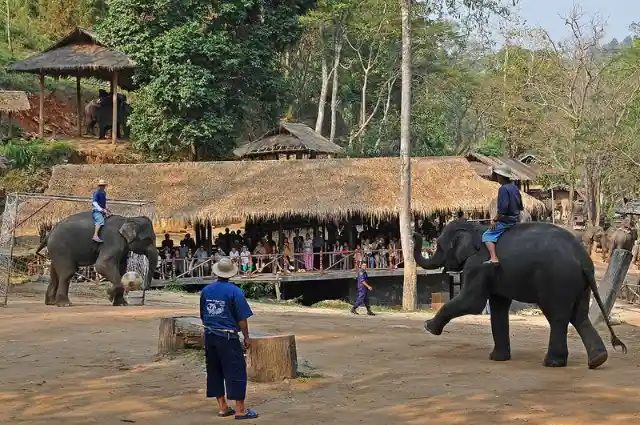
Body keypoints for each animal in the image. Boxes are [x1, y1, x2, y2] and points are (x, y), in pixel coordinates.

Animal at [412, 220, 628, 370]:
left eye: (439, 245)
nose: (414, 233)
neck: (478, 229)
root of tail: (582, 258)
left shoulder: (478, 266)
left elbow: (472, 302)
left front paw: (428, 326)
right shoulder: (493, 272)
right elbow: (498, 306)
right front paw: (497, 358)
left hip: (557, 280)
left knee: (558, 317)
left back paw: (552, 363)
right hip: (579, 284)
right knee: (579, 316)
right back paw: (598, 360)